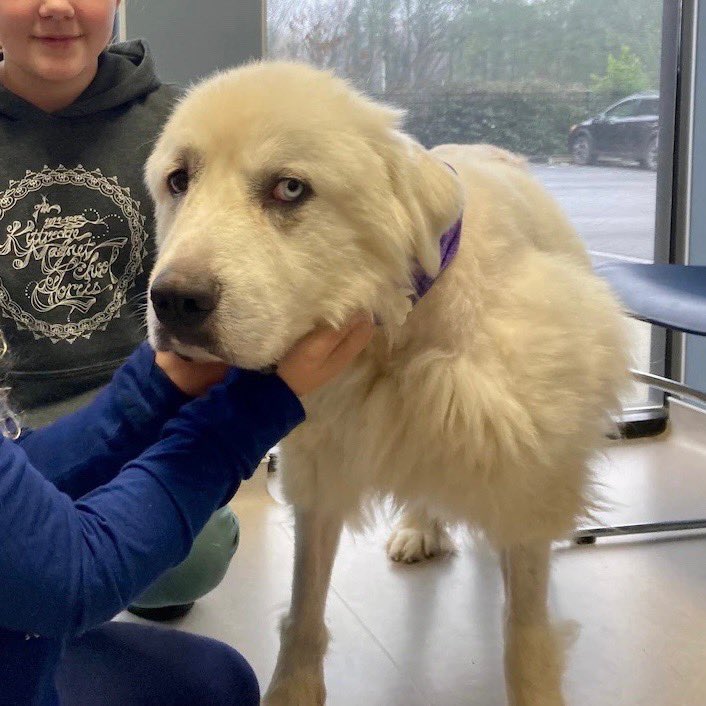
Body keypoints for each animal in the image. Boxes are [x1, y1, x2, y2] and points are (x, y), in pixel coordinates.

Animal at [144, 62, 628, 704]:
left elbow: (524, 633)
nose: (175, 301)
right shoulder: (323, 469)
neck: (396, 335)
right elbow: (304, 606)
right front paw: (294, 689)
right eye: (179, 181)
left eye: (289, 189)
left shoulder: (525, 475)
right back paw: (420, 529)